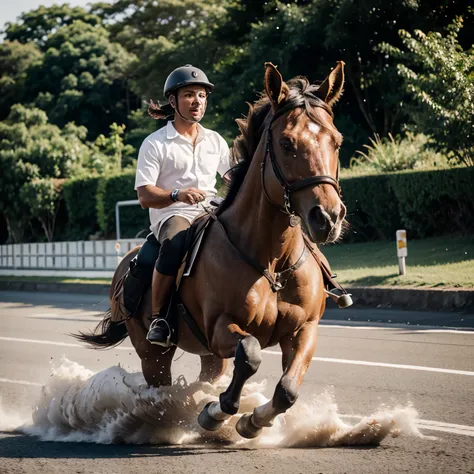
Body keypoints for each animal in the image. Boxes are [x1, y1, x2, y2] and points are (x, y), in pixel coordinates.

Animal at [76, 61, 346, 438]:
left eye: (336, 141)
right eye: (287, 143)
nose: (328, 218)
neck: (272, 262)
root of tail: (126, 262)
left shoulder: (304, 330)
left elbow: (288, 390)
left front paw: (252, 421)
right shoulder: (220, 330)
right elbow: (250, 355)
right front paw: (217, 413)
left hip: (206, 355)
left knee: (208, 376)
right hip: (152, 354)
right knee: (162, 386)